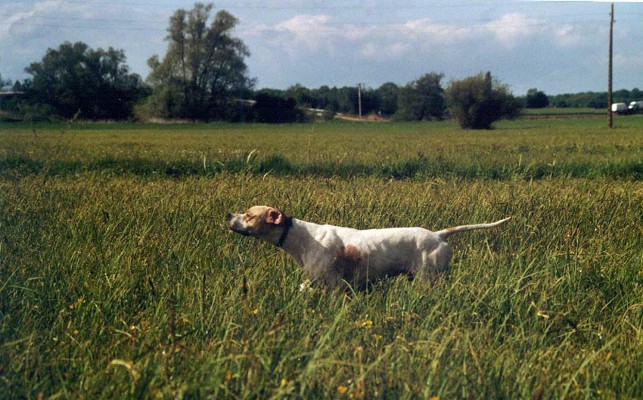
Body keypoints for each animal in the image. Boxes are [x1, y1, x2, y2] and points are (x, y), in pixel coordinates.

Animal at [229, 206, 510, 288]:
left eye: (249, 215)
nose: (228, 215)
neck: (302, 237)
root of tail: (439, 235)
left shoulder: (333, 285)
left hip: (427, 279)